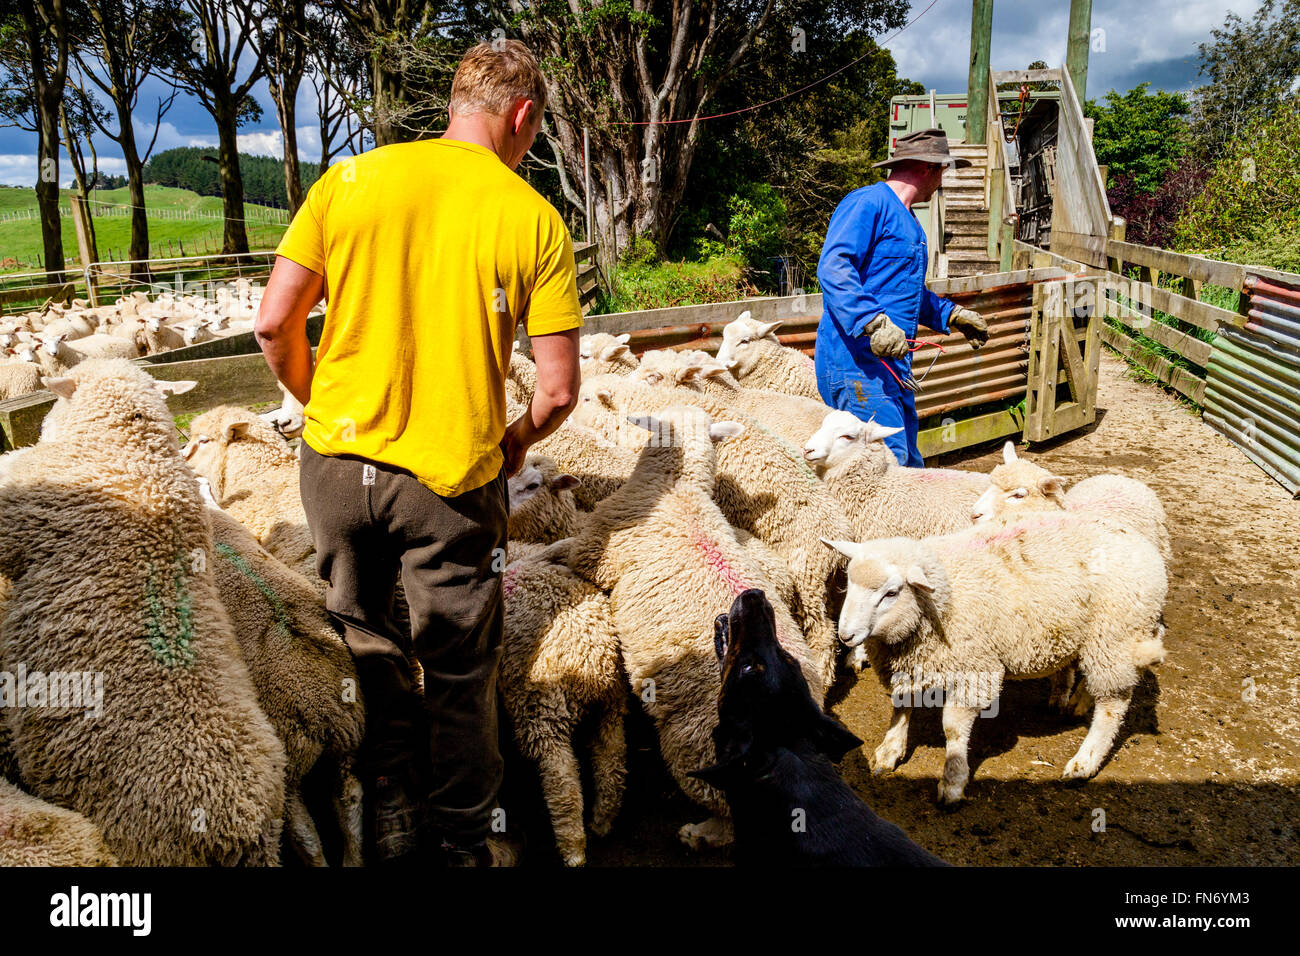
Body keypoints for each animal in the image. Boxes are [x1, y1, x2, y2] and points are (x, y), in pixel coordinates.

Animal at [501, 541, 627, 866]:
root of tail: (596, 655)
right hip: (610, 705)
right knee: (611, 758)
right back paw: (602, 820)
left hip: (541, 711)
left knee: (563, 785)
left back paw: (573, 850)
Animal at [556, 404, 821, 849]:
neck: (677, 488)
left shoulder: (593, 552)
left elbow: (566, 551)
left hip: (697, 747)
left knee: (733, 818)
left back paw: (696, 834)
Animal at [823, 512, 1167, 804]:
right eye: (849, 582)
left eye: (891, 593)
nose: (846, 636)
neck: (941, 597)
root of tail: (1145, 546)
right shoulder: (908, 664)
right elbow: (901, 706)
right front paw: (890, 750)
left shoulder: (975, 669)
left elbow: (952, 729)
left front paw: (953, 780)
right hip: (1091, 638)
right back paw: (1075, 702)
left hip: (1113, 636)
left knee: (1112, 705)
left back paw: (1085, 761)